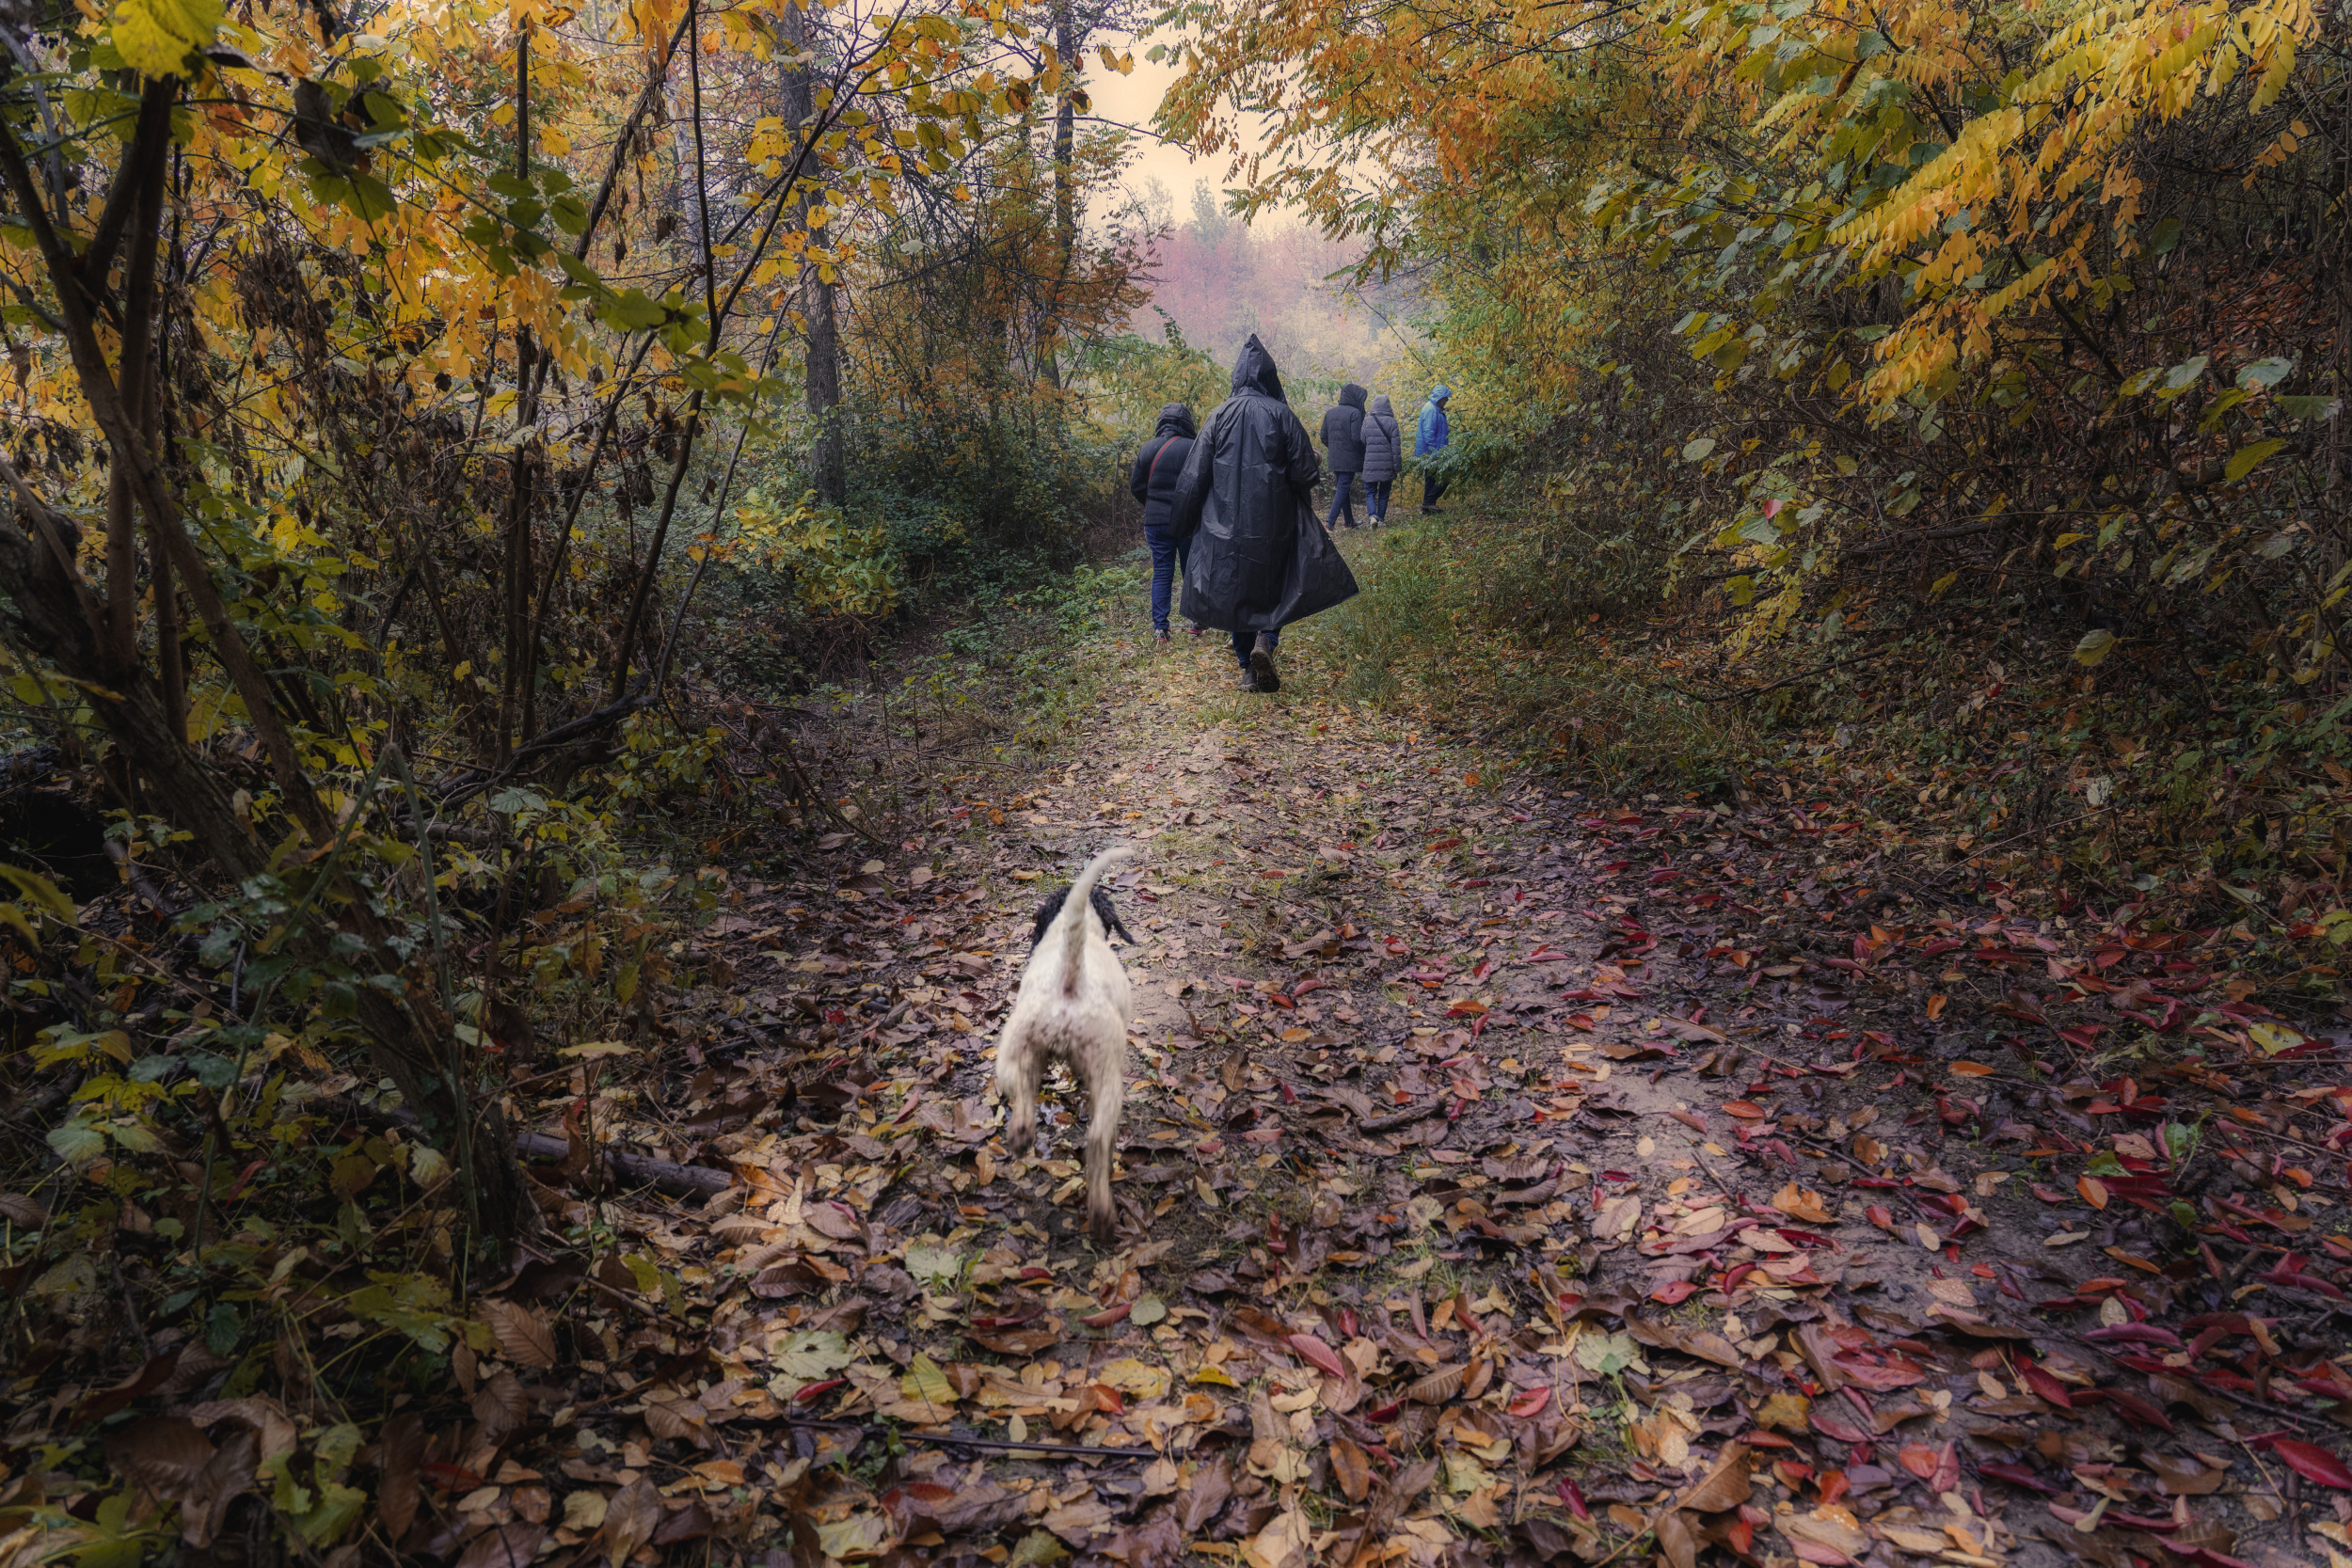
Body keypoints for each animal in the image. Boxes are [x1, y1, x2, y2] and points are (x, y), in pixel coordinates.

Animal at [995, 844, 1138, 1244]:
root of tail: (1070, 978)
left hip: (1015, 1048)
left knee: (1022, 1090)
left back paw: (1021, 1136)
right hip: (1109, 1075)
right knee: (1098, 1141)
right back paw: (1103, 1214)